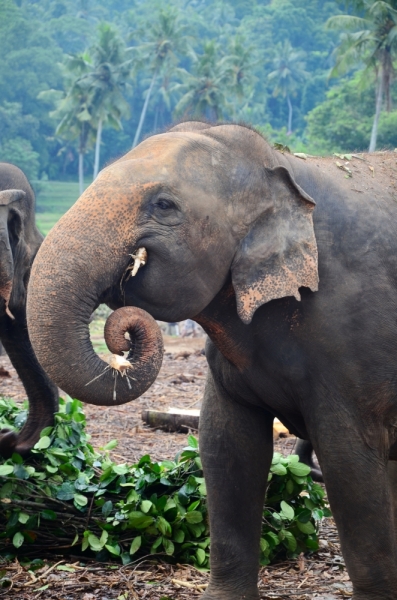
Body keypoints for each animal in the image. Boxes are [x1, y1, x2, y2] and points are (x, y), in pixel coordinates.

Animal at [26, 123, 396, 600]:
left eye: (164, 205)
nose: (124, 336)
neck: (282, 166)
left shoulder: (353, 340)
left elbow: (350, 463)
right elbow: (226, 448)